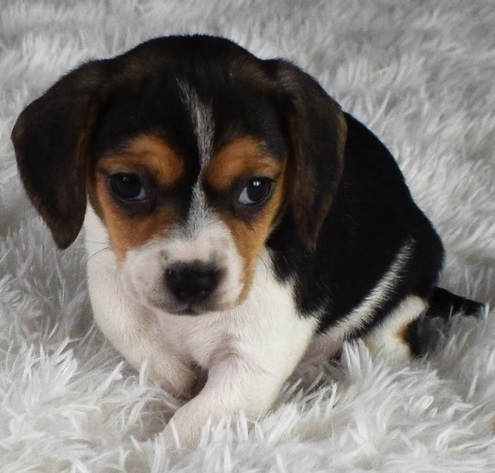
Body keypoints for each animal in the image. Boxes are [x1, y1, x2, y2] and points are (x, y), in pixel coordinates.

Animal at [11, 34, 484, 446]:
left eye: (256, 188)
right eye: (127, 184)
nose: (193, 279)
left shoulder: (253, 363)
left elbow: (189, 424)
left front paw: (148, 454)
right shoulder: (110, 267)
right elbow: (127, 324)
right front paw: (177, 375)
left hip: (398, 304)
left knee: (385, 344)